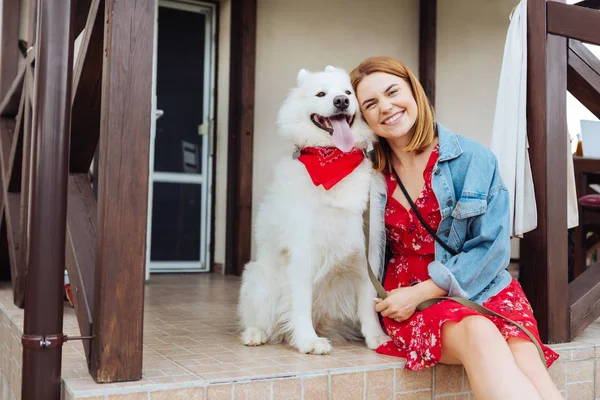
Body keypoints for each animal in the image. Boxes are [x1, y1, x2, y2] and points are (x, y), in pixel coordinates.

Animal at [237, 66, 386, 356]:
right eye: (321, 94)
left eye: (348, 92)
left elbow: (368, 302)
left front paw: (377, 338)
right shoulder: (303, 252)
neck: (331, 157)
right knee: (257, 317)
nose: (341, 101)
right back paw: (255, 334)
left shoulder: (367, 251)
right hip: (259, 279)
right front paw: (308, 341)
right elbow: (301, 304)